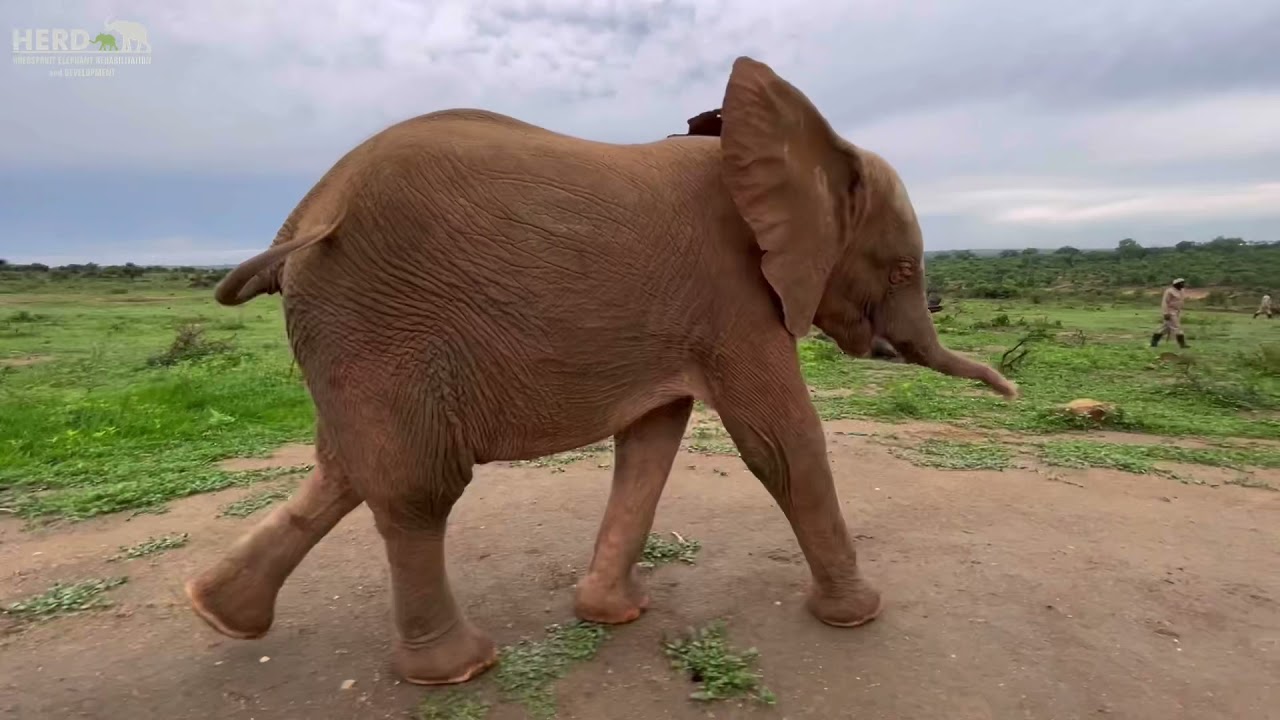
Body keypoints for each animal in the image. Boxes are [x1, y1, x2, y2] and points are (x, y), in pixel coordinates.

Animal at [185, 56, 1018, 687]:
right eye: (901, 267)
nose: (1012, 390)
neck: (804, 141)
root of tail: (306, 215)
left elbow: (649, 445)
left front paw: (612, 616)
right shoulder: (734, 294)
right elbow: (782, 443)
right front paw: (858, 614)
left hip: (350, 329)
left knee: (347, 472)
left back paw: (218, 614)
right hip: (382, 321)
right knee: (417, 489)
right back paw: (457, 670)